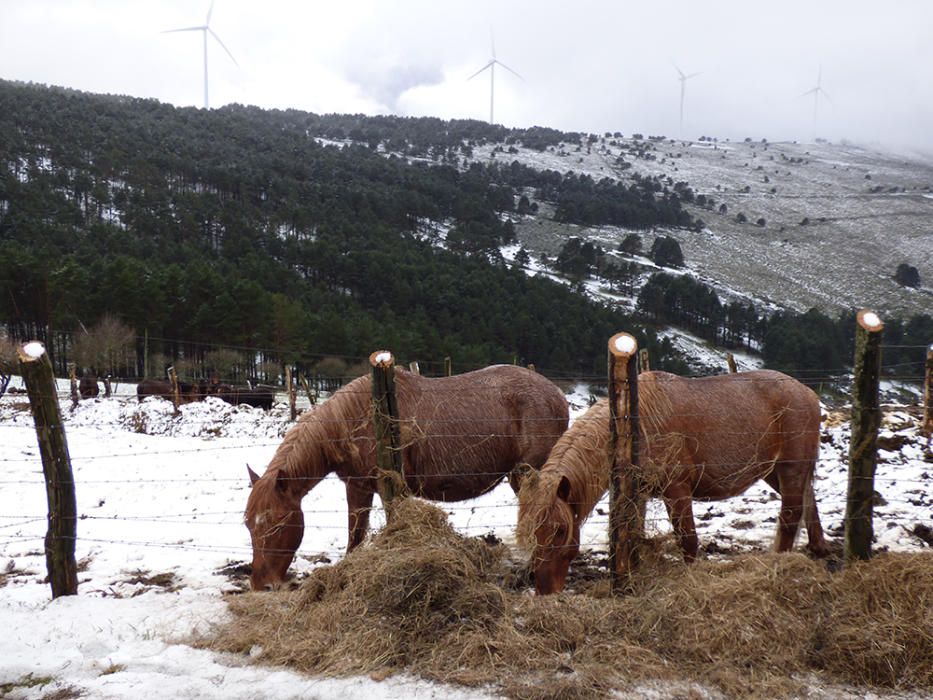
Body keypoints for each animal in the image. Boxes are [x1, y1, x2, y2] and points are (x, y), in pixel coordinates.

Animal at [244, 366, 568, 592]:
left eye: (277, 522)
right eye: (248, 523)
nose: (262, 584)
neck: (355, 418)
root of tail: (558, 396)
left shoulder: (388, 488)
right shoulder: (357, 486)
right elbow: (354, 534)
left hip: (527, 477)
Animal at [516, 370, 832, 592]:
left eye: (559, 531)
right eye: (530, 531)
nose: (544, 589)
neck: (636, 424)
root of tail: (807, 392)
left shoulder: (677, 490)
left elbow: (687, 540)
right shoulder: (637, 494)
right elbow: (632, 538)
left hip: (791, 469)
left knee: (791, 515)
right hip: (774, 472)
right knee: (809, 500)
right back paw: (818, 549)